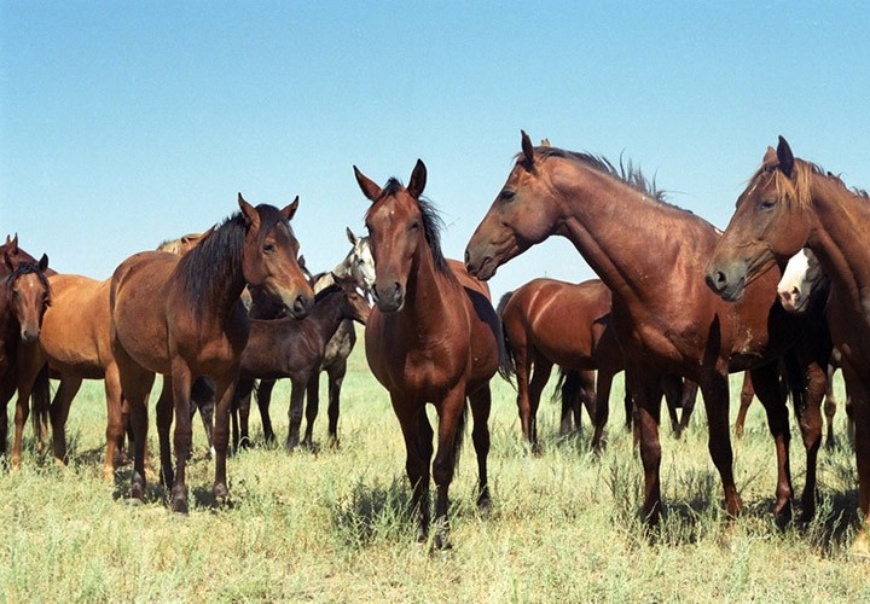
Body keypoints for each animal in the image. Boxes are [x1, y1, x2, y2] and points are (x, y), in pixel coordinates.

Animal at [108, 193, 314, 510]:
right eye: (268, 246)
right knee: (140, 420)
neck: (208, 306)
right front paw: (180, 500)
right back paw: (138, 488)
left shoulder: (227, 374)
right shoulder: (185, 370)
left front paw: (221, 494)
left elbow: (220, 432)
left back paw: (167, 479)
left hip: (165, 371)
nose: (304, 300)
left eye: (296, 246)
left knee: (161, 416)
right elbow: (183, 433)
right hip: (133, 366)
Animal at [356, 159, 504, 548]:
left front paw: (443, 535)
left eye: (414, 223)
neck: (425, 329)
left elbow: (442, 465)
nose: (388, 293)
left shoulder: (451, 396)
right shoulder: (403, 399)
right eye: (369, 226)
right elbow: (417, 463)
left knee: (480, 441)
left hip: (479, 390)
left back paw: (484, 502)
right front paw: (421, 528)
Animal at [466, 133, 836, 528]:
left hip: (809, 361)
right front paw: (651, 518)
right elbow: (650, 448)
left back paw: (805, 505)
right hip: (764, 364)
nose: (471, 255)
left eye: (508, 194)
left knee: (808, 427)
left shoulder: (711, 374)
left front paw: (733, 516)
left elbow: (720, 448)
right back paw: (783, 504)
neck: (665, 269)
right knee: (780, 423)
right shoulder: (644, 372)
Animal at [708, 134, 870, 556]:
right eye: (738, 203)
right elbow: (863, 448)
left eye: (767, 203)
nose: (716, 275)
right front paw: (863, 537)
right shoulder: (857, 375)